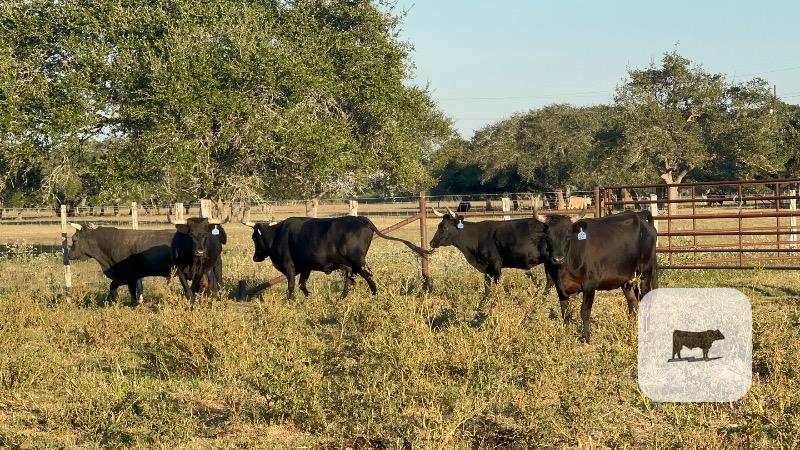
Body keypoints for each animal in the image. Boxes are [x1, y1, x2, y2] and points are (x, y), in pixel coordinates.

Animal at [244, 215, 432, 299]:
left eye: (254, 238)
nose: (255, 258)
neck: (278, 234)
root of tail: (359, 219)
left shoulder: (289, 265)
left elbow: (291, 285)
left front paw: (290, 299)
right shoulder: (306, 267)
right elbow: (302, 283)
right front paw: (308, 295)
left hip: (357, 262)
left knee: (367, 277)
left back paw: (374, 294)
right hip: (350, 265)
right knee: (349, 280)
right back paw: (342, 297)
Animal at [429, 206, 583, 308]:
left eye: (444, 227)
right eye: (439, 225)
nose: (431, 243)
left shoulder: (496, 264)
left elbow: (496, 284)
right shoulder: (487, 268)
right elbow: (487, 287)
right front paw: (482, 305)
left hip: (554, 261)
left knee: (552, 281)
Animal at [540, 209, 658, 343]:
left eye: (568, 235)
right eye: (548, 236)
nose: (558, 259)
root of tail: (640, 216)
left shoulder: (590, 284)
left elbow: (585, 311)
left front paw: (586, 338)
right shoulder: (559, 286)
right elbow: (565, 312)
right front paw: (566, 335)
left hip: (645, 272)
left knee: (645, 300)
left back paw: (646, 330)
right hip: (627, 279)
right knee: (633, 302)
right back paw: (631, 328)